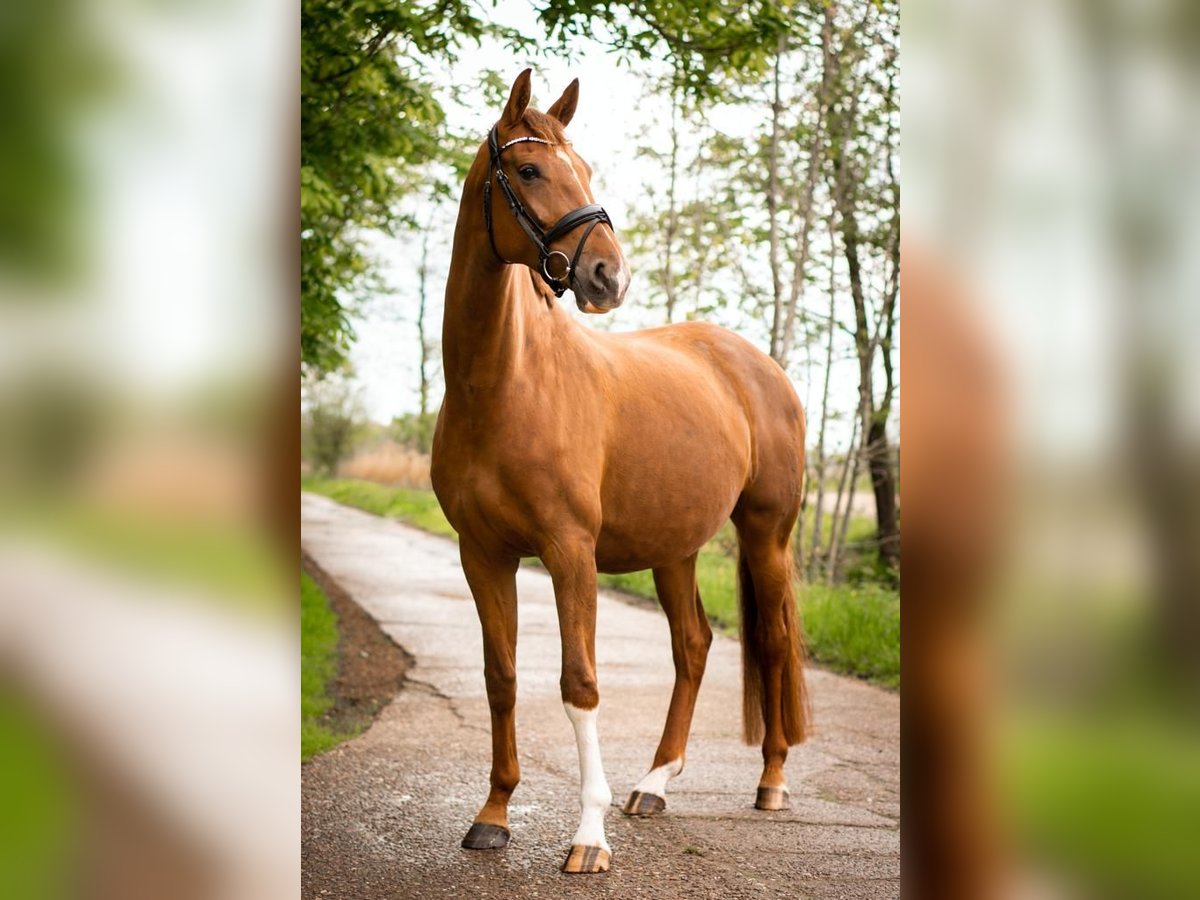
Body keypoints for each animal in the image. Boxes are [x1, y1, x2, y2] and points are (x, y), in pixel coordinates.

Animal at [427, 68, 811, 873]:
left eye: (585, 168)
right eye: (529, 169)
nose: (609, 275)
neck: (505, 383)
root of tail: (758, 366)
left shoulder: (570, 552)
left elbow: (580, 684)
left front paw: (588, 838)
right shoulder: (482, 554)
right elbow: (502, 678)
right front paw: (493, 815)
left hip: (766, 536)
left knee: (771, 643)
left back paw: (770, 784)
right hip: (675, 549)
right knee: (693, 646)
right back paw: (655, 783)